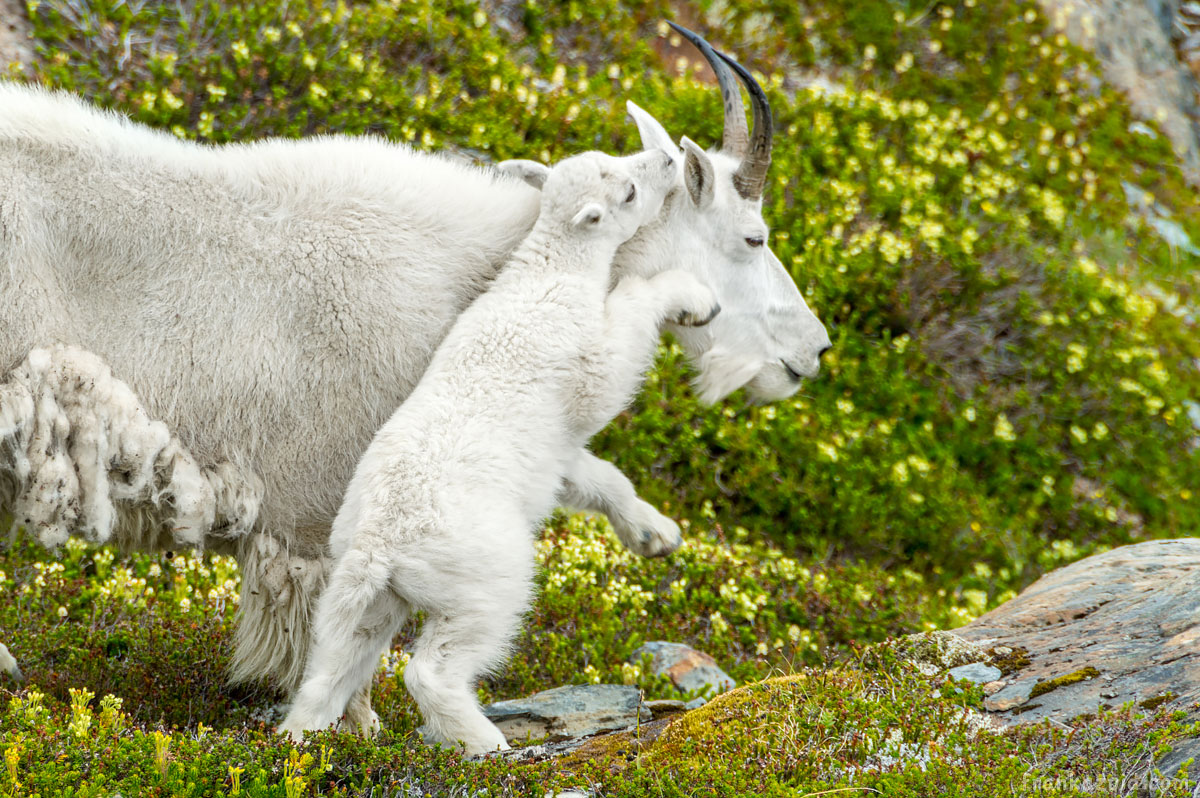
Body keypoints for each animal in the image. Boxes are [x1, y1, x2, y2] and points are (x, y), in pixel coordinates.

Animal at [0, 26, 825, 720]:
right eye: (754, 237)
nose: (811, 353)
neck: (479, 269)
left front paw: (656, 533)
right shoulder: (321, 498)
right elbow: (334, 635)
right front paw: (357, 728)